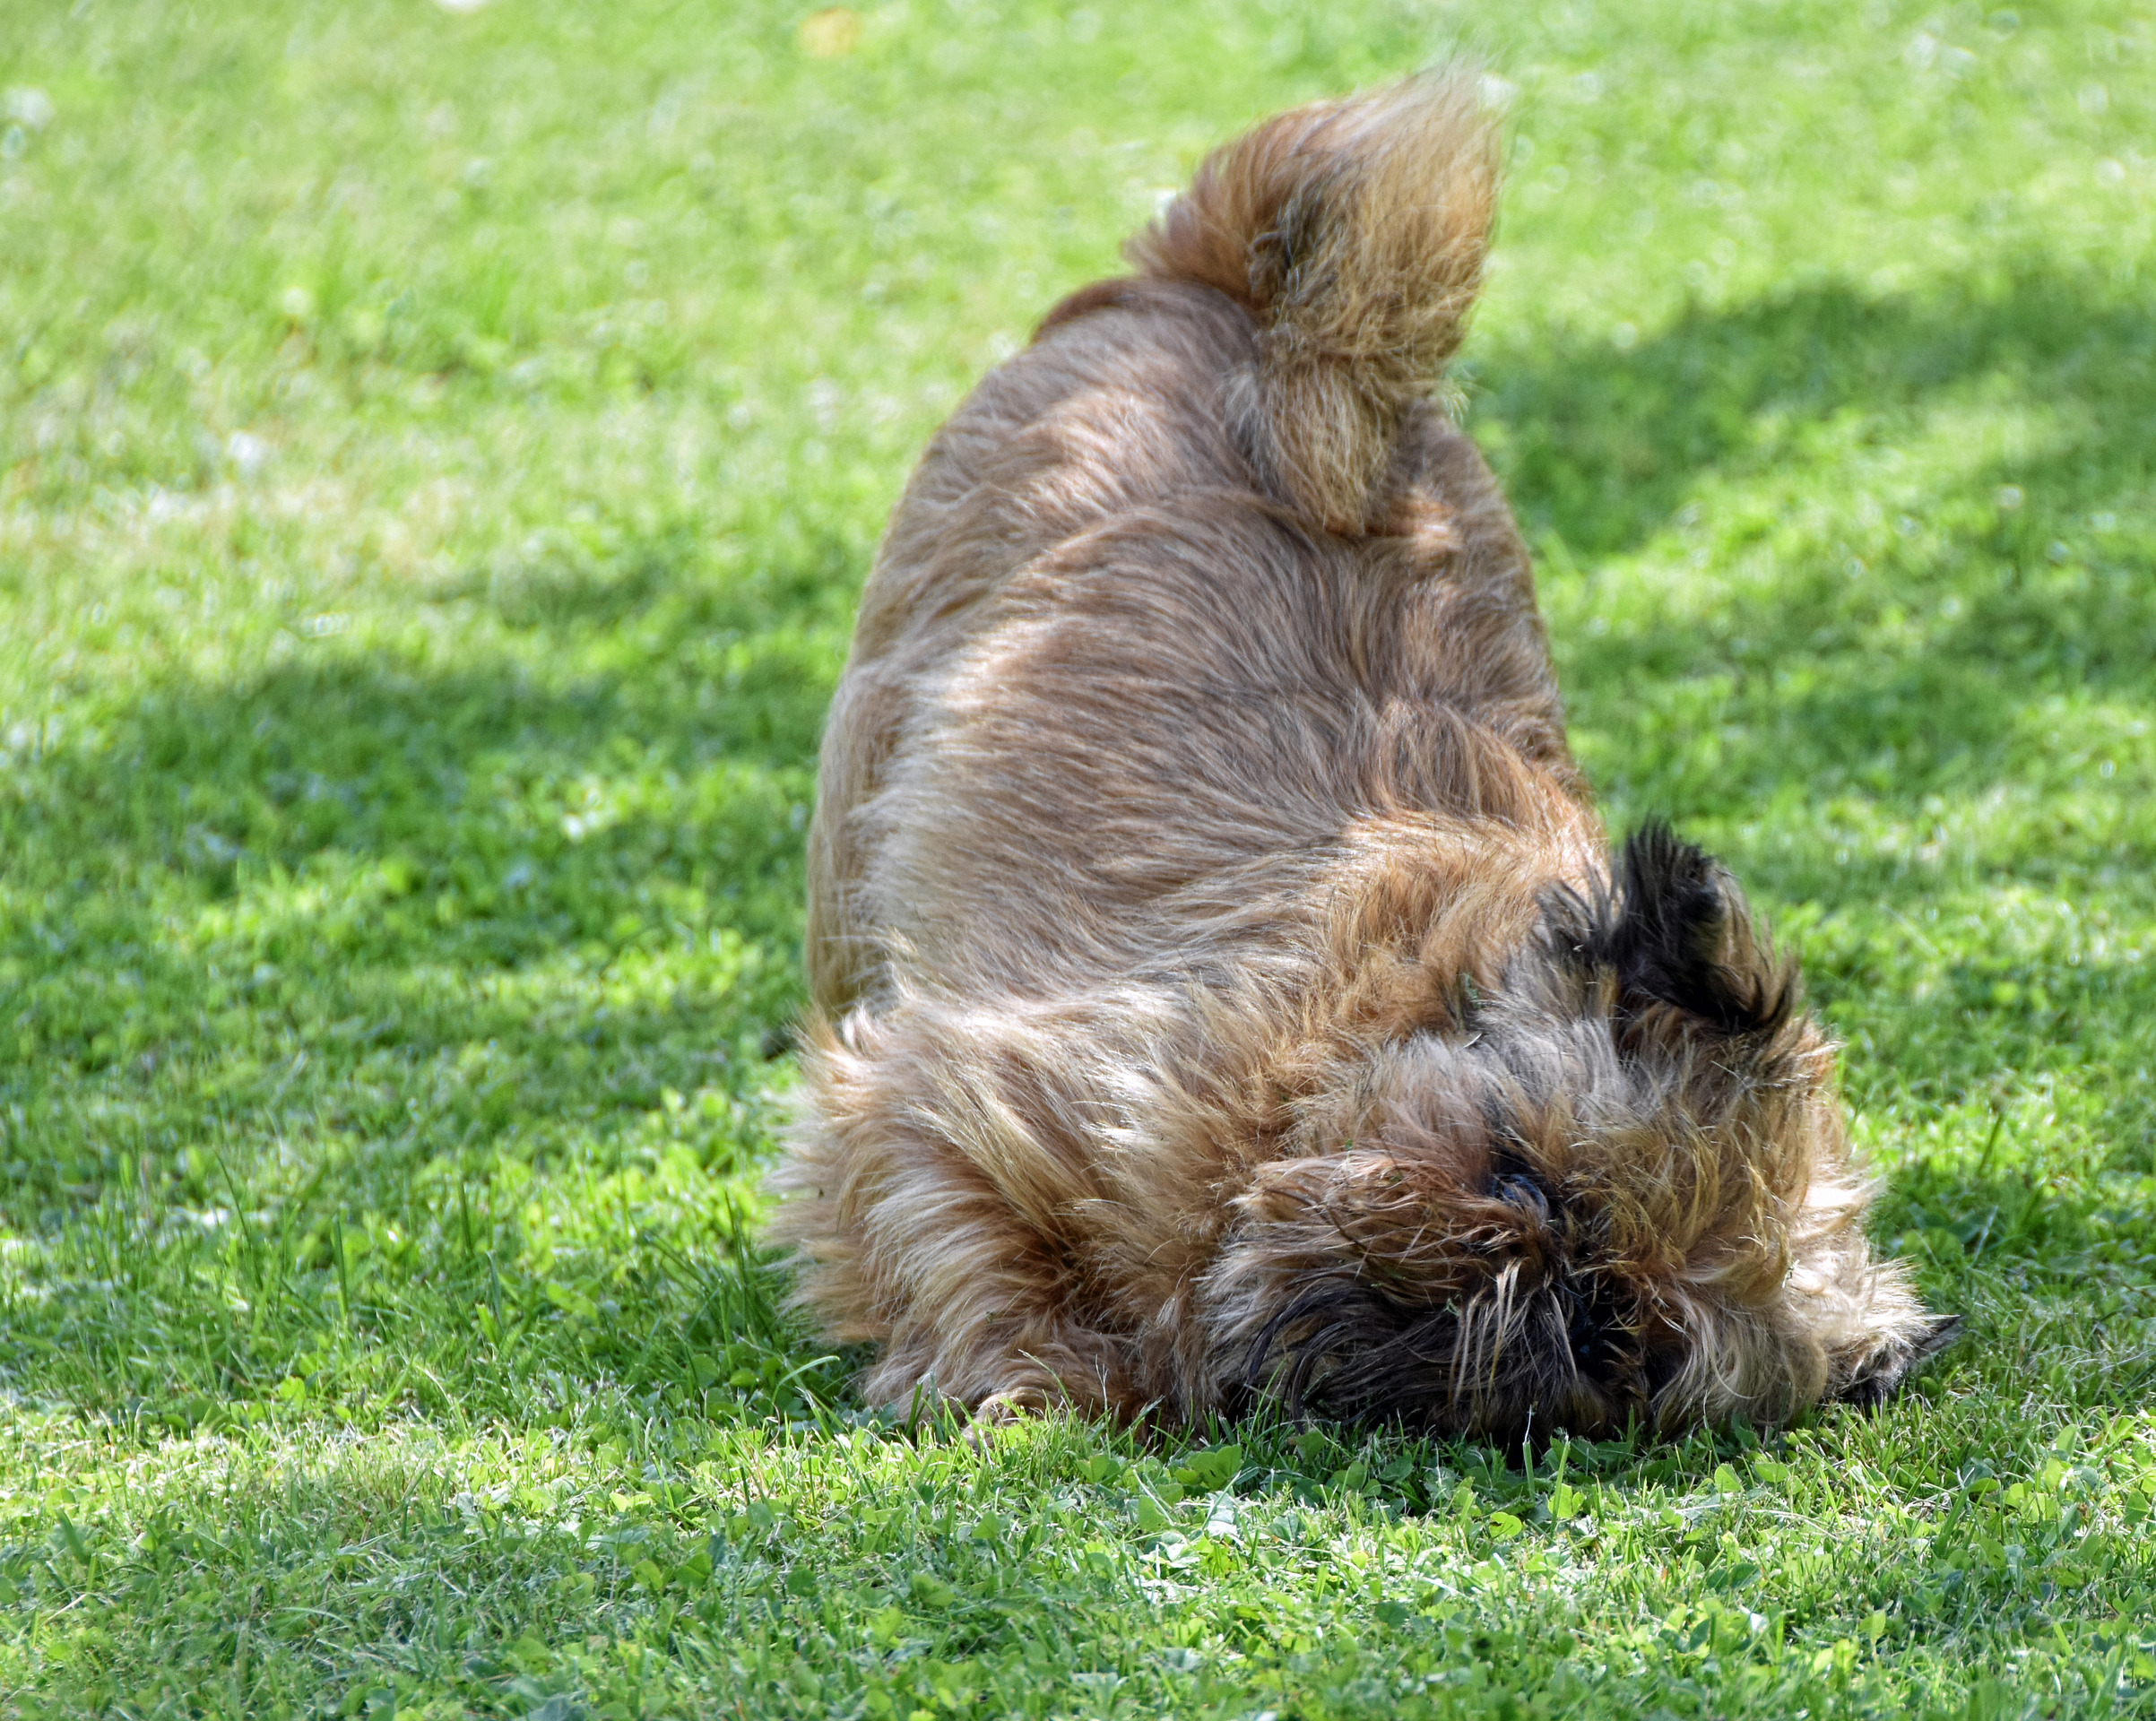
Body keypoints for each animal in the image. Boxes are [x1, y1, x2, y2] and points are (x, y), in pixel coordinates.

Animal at [775, 70, 1957, 1440]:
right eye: (1526, 1177)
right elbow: (967, 1242)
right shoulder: (935, 1101)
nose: (1549, 1286)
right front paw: (1044, 1375)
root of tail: (1217, 289)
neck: (1343, 1031)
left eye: (1624, 1346)